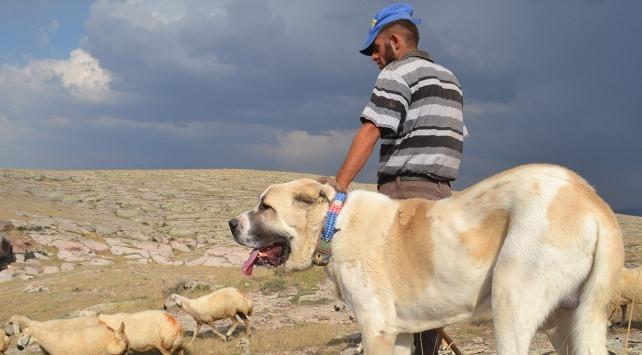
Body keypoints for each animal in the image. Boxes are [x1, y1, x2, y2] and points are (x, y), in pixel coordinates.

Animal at [228, 165, 624, 354]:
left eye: (266, 207)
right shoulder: (400, 333)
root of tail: (593, 201)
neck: (333, 225)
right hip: (567, 324)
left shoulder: (377, 329)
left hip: (511, 304)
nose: (232, 223)